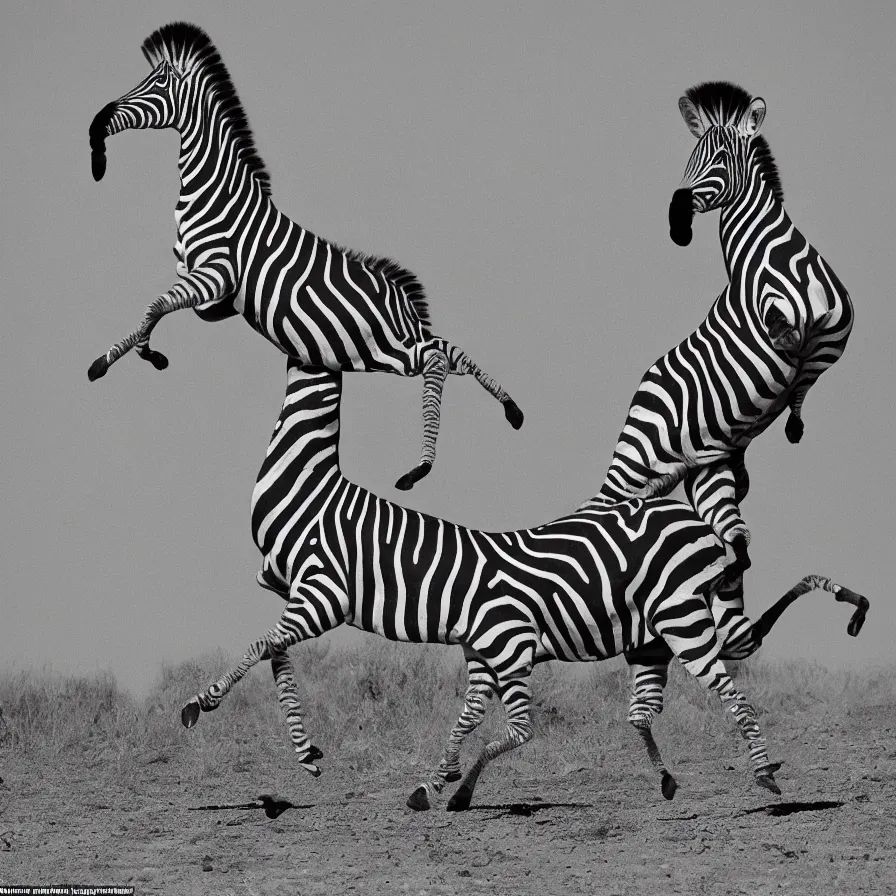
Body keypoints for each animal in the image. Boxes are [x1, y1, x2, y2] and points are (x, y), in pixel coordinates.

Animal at [87, 24, 520, 490]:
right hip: (381, 349)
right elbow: (162, 308)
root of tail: (404, 302)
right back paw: (510, 408)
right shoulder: (203, 285)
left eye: (160, 82)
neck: (214, 192)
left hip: (389, 345)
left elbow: (155, 305)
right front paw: (136, 352)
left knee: (439, 358)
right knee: (451, 351)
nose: (96, 128)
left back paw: (420, 468)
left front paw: (120, 360)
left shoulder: (219, 272)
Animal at [177, 360, 868, 808]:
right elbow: (467, 720)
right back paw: (676, 777)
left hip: (686, 623)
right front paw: (436, 783)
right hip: (654, 638)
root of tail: (692, 527)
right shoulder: (483, 653)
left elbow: (514, 730)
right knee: (645, 710)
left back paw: (766, 773)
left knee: (730, 690)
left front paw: (198, 704)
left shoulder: (477, 641)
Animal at [596, 84, 856, 576]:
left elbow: (808, 373)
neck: (770, 259)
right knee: (602, 510)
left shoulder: (837, 330)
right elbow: (782, 334)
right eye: (690, 158)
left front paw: (793, 418)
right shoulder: (778, 317)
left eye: (719, 159)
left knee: (735, 539)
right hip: (635, 460)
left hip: (703, 472)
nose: (677, 221)